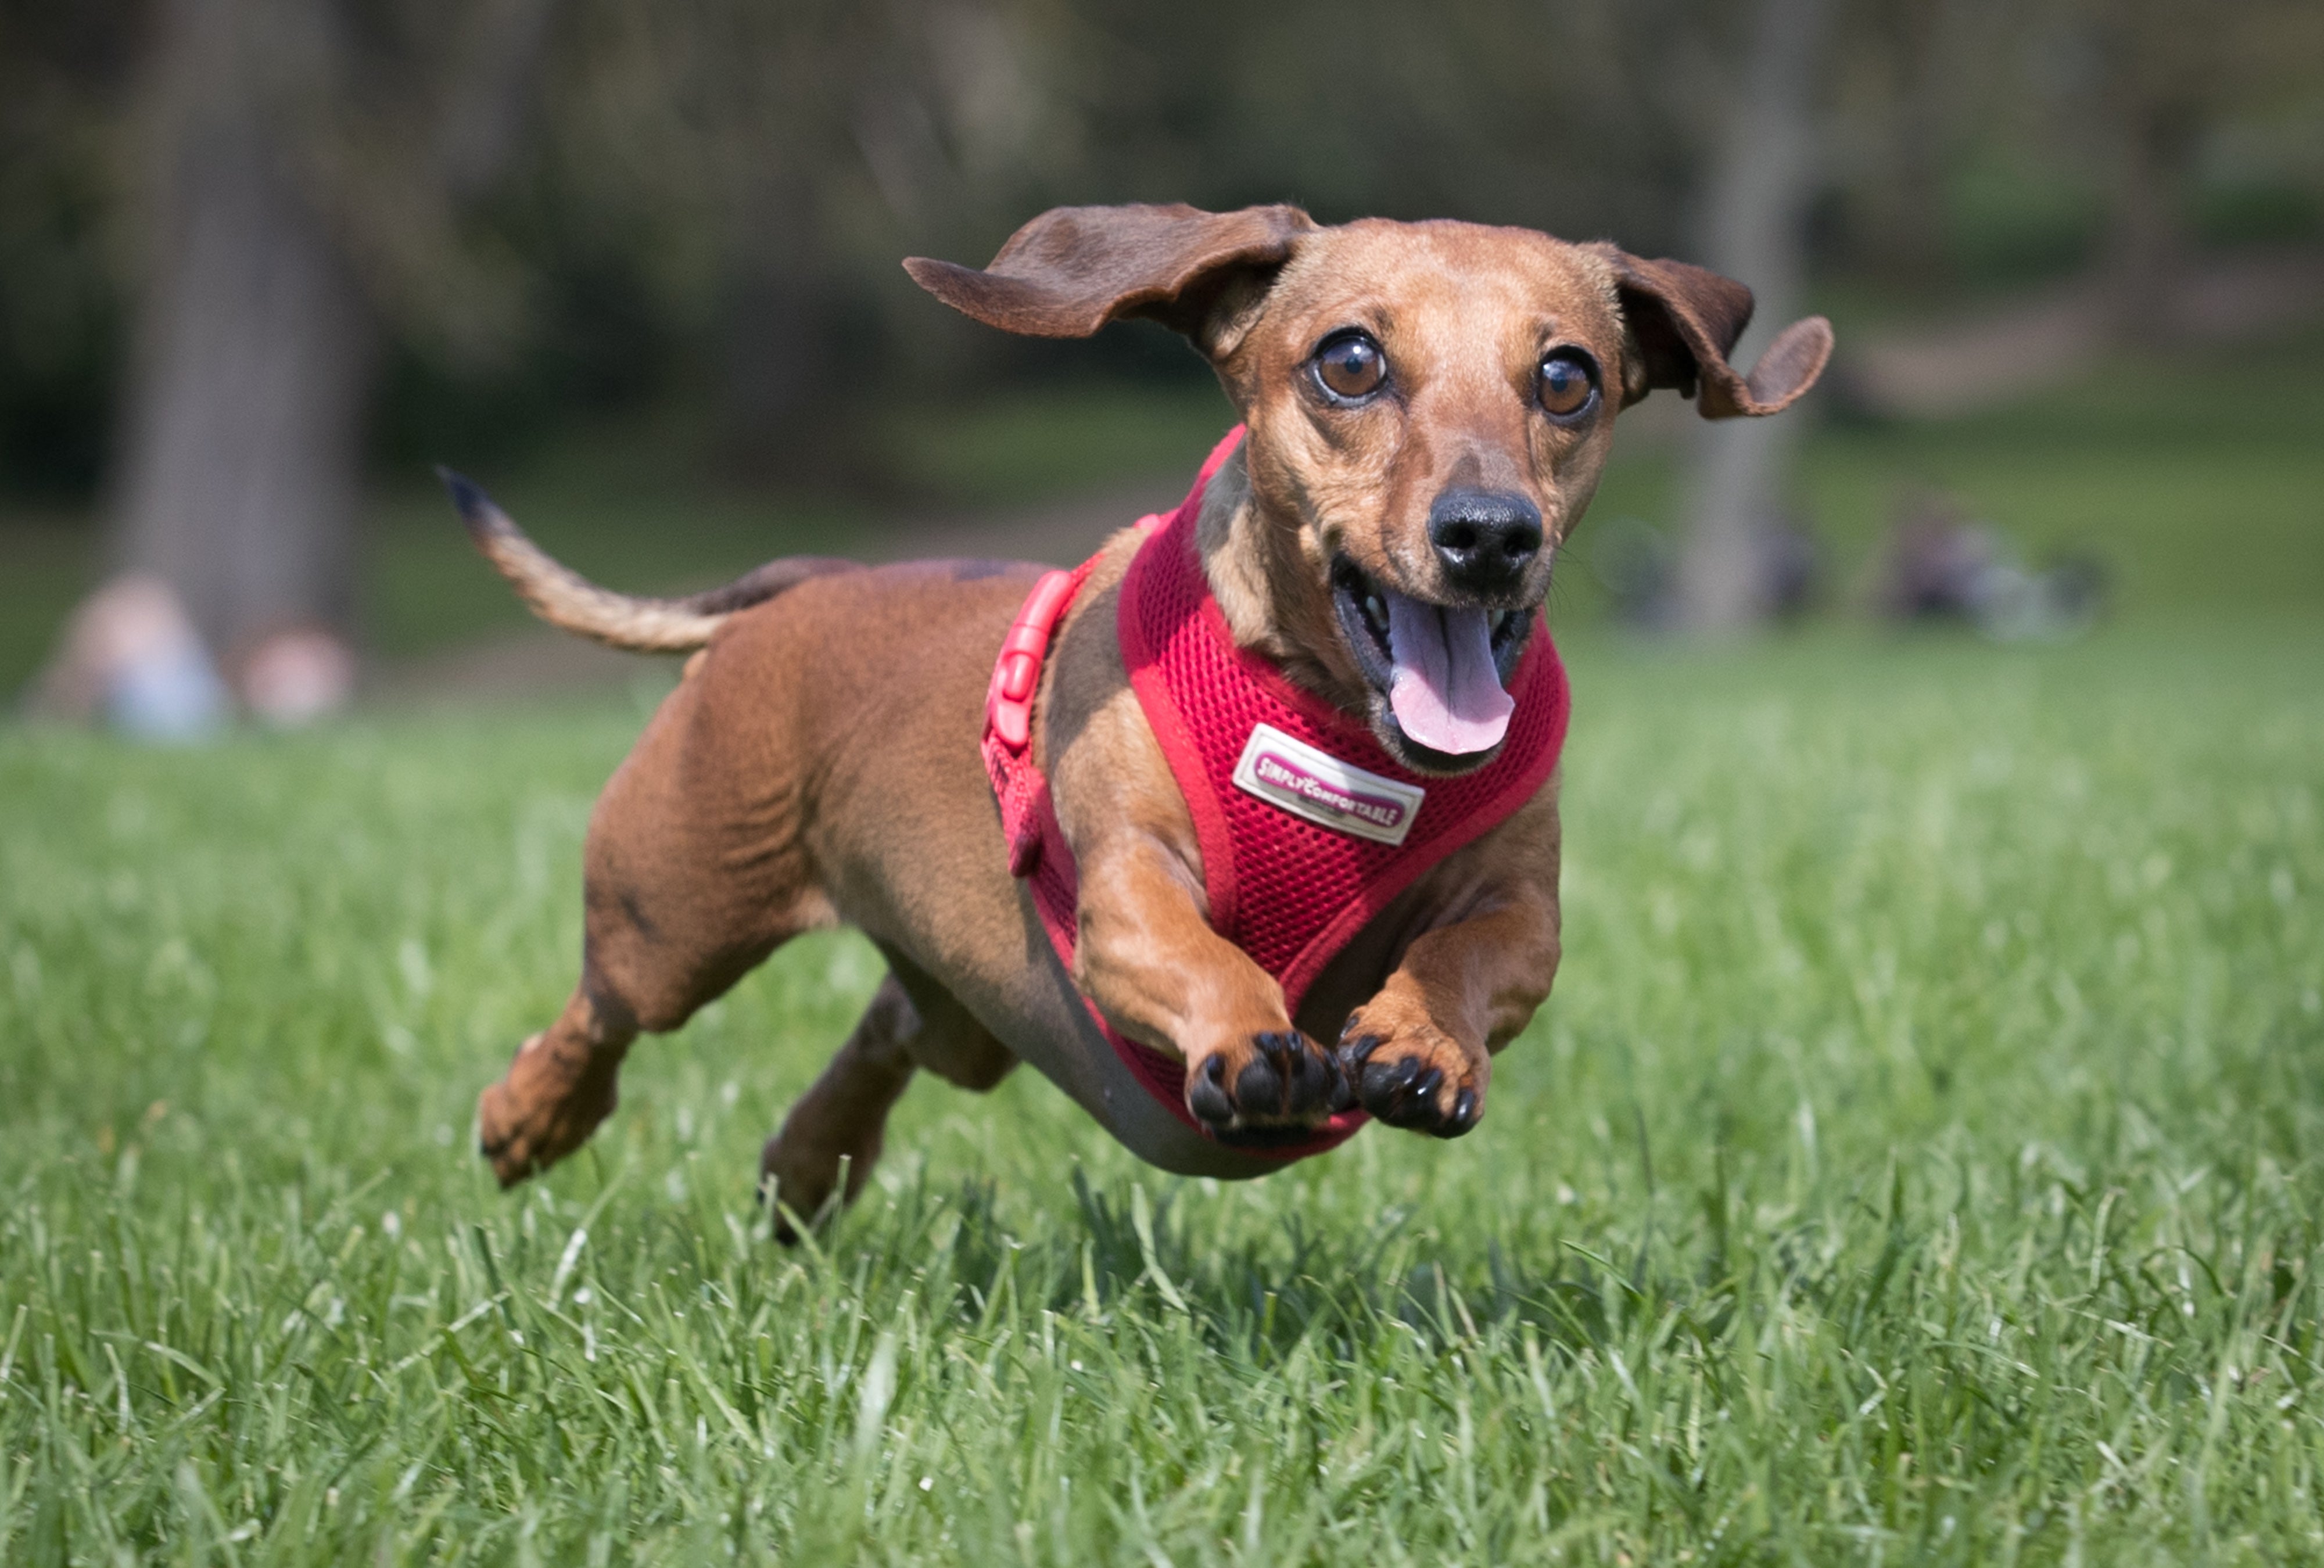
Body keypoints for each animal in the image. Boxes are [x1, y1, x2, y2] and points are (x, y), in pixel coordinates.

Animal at [444, 202, 1831, 1236]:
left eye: (1565, 377)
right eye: (1349, 362)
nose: (1489, 535)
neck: (1332, 728)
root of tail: (809, 582)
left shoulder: (1519, 908)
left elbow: (1475, 953)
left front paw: (1422, 1035)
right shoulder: (1123, 892)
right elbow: (1199, 951)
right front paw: (1254, 1036)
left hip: (969, 1012)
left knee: (890, 1026)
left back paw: (807, 1162)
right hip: (674, 913)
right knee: (604, 1010)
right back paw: (530, 1114)